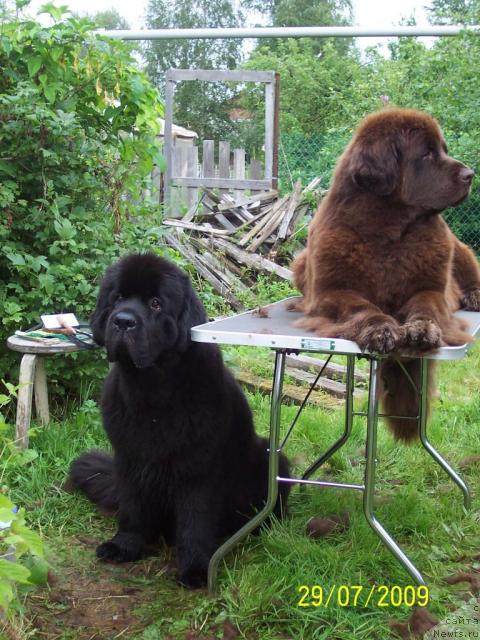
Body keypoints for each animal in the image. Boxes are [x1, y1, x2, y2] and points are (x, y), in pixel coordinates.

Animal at [70, 252, 290, 588]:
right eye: (118, 298)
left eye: (156, 304)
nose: (123, 321)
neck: (152, 395)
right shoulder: (130, 459)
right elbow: (133, 507)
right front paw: (125, 545)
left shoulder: (197, 469)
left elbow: (194, 520)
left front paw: (196, 568)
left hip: (270, 459)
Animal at [290, 109, 480, 440]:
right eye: (426, 154)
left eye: (443, 149)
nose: (470, 174)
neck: (389, 233)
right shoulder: (330, 292)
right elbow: (360, 306)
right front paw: (381, 329)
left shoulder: (431, 289)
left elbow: (425, 305)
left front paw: (422, 330)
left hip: (459, 249)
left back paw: (475, 296)